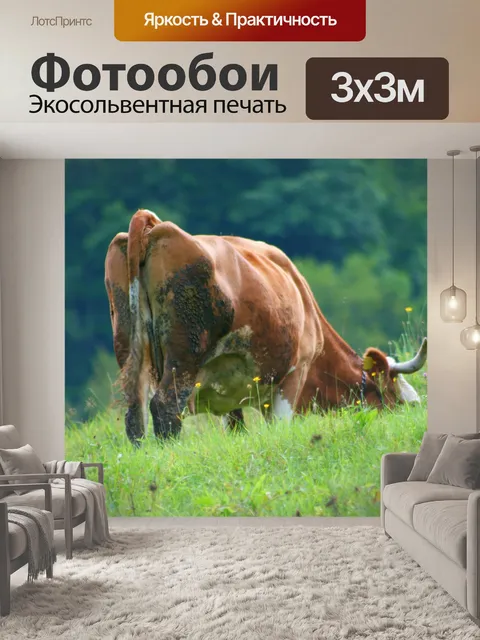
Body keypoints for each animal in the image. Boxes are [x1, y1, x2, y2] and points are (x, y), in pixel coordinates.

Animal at [105, 209, 427, 445]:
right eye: (403, 403)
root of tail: (152, 224)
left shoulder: (227, 393)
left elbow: (236, 428)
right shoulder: (294, 374)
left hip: (130, 350)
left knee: (135, 415)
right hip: (184, 355)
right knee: (165, 407)